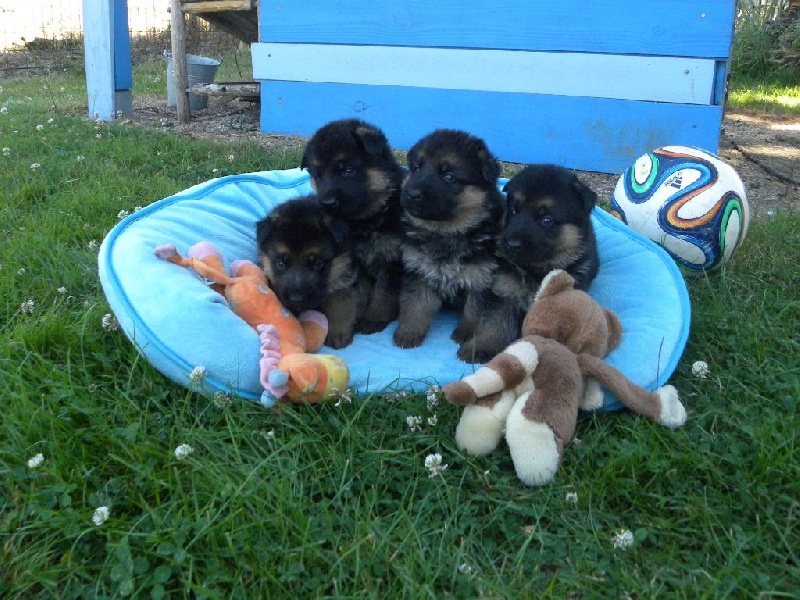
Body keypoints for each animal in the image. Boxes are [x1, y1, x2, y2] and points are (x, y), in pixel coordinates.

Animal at [256, 195, 368, 350]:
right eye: (280, 263)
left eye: (317, 264)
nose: (296, 299)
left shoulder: (346, 281)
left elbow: (342, 305)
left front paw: (338, 332)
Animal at [304, 117, 410, 332]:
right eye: (318, 176)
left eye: (347, 170)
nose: (327, 203)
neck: (367, 219)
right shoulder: (354, 264)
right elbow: (357, 294)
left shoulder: (393, 261)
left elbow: (383, 294)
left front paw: (374, 319)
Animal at [394, 127, 506, 360]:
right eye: (416, 168)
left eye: (449, 176)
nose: (412, 193)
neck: (446, 232)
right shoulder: (418, 270)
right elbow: (416, 304)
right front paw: (409, 332)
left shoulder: (482, 276)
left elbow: (475, 310)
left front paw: (466, 333)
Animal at [462, 164, 600, 360]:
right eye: (513, 210)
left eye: (546, 220)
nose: (511, 244)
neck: (537, 269)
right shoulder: (505, 291)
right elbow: (496, 322)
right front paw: (483, 346)